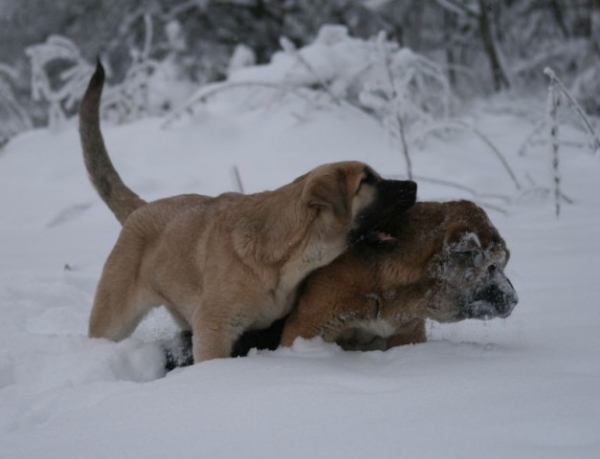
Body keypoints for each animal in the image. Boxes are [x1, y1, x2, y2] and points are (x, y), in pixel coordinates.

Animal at [79, 62, 418, 362]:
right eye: (367, 180)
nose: (414, 185)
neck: (284, 255)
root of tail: (142, 208)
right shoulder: (214, 329)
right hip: (113, 320)